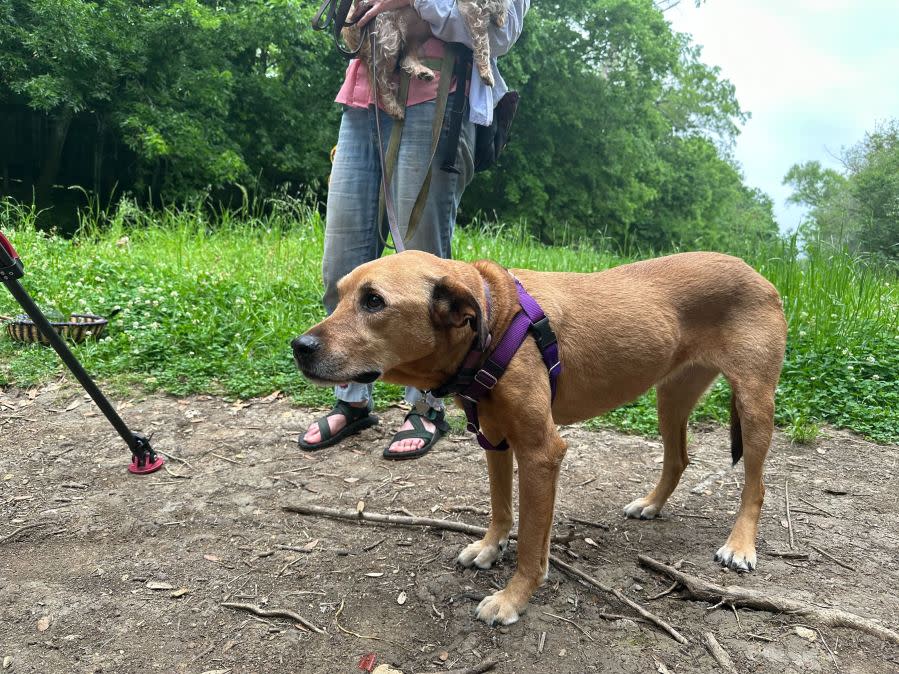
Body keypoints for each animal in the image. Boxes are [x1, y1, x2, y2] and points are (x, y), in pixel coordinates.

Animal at [296, 251, 788, 624]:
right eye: (340, 296)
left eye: (373, 301)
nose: (299, 347)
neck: (493, 319)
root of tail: (759, 273)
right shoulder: (495, 440)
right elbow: (502, 508)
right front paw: (491, 547)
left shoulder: (540, 452)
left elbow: (531, 540)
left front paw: (513, 597)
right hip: (671, 396)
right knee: (678, 459)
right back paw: (651, 504)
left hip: (754, 403)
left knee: (757, 484)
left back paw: (740, 545)